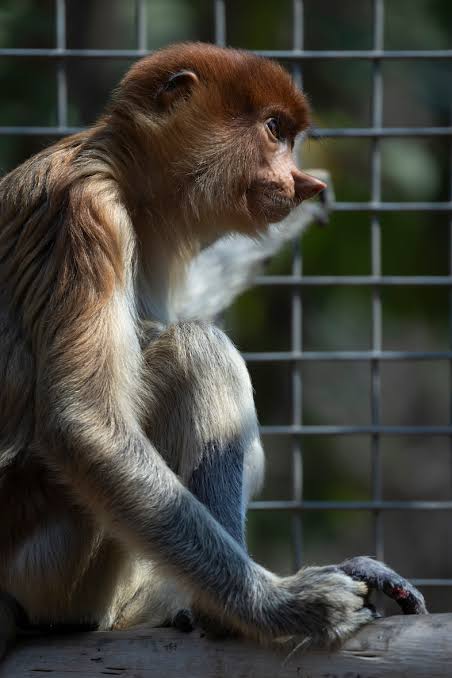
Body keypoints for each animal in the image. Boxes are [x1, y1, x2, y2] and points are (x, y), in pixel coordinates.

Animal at [0, 43, 425, 659]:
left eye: (288, 137)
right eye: (273, 130)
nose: (300, 182)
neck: (122, 171)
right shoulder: (84, 215)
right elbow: (84, 422)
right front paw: (281, 605)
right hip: (51, 556)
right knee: (197, 348)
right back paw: (221, 615)